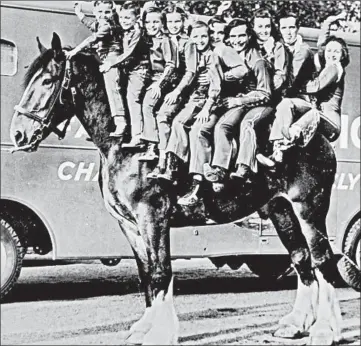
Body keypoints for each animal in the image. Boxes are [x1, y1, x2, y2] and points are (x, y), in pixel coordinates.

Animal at [9, 31, 344, 344]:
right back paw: (296, 325)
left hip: (308, 208)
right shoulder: (130, 225)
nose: (18, 134)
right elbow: (146, 273)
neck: (128, 144)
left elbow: (161, 272)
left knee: (323, 260)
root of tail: (316, 134)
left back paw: (325, 331)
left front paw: (160, 333)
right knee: (301, 259)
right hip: (282, 210)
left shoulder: (153, 217)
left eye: (48, 80)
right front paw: (145, 328)